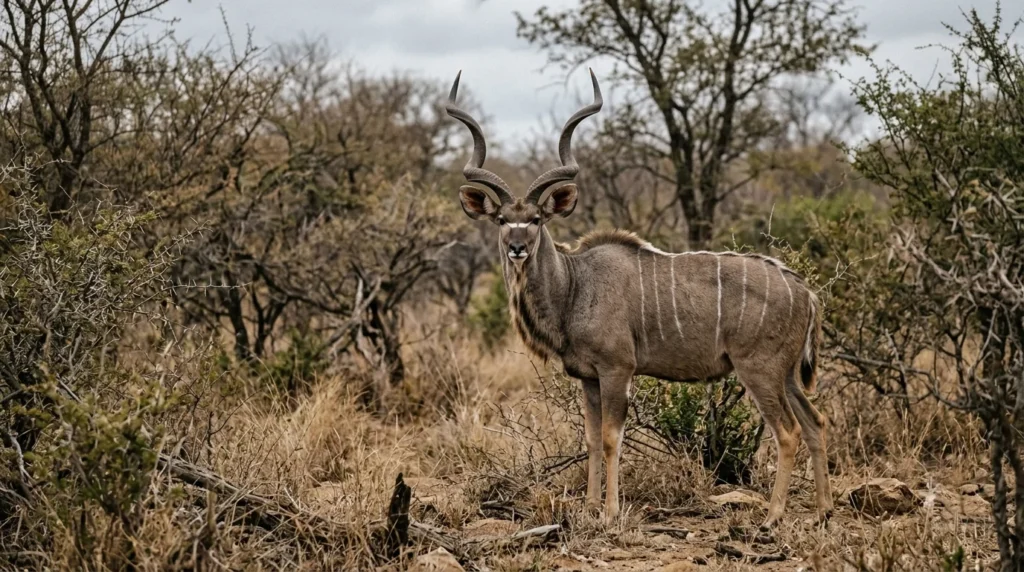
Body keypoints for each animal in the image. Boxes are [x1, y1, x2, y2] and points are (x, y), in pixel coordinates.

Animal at [444, 70, 832, 527]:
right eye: (503, 220)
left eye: (536, 219)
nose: (517, 248)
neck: (575, 287)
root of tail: (806, 292)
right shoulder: (588, 377)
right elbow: (591, 439)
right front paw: (590, 507)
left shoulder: (617, 369)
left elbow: (612, 438)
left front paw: (611, 512)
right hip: (786, 374)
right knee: (816, 421)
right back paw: (823, 511)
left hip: (760, 370)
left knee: (788, 431)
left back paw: (773, 517)